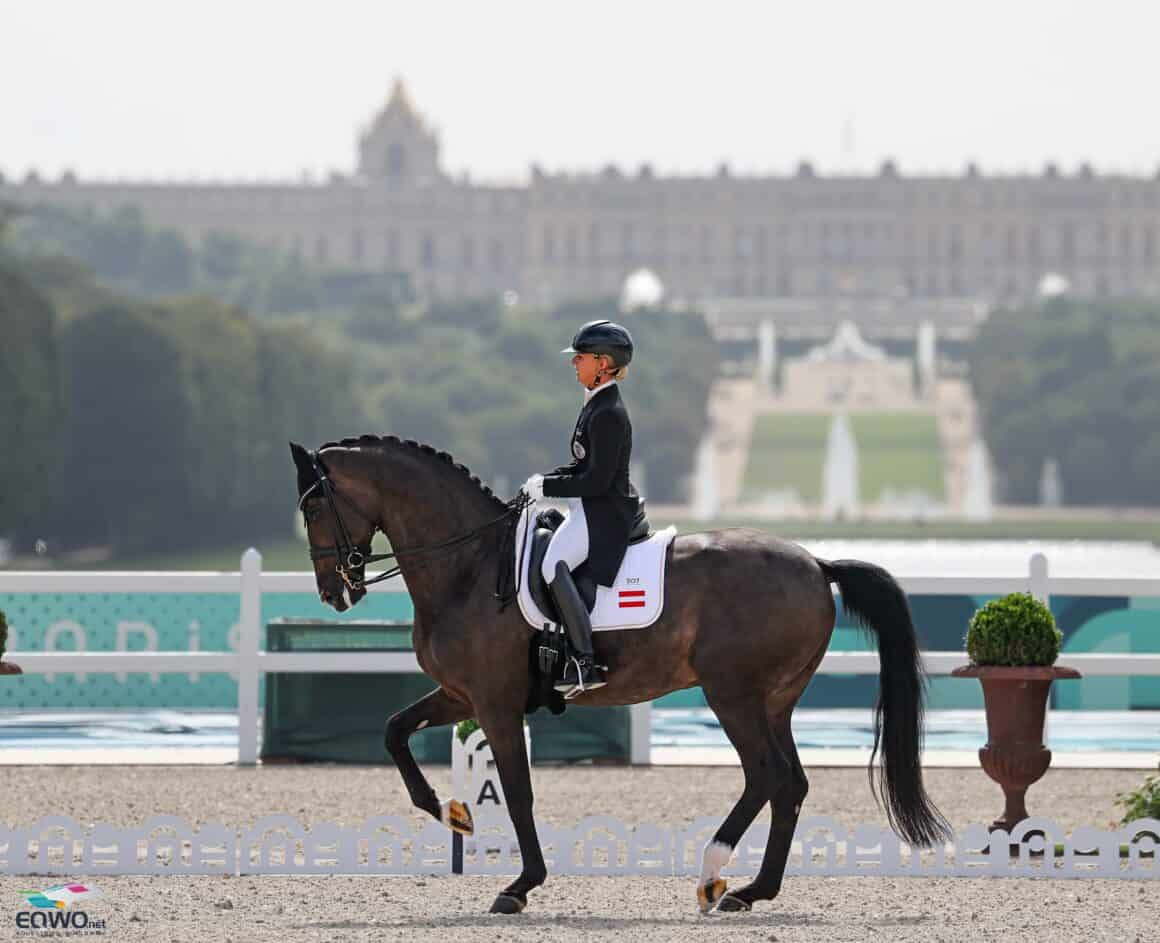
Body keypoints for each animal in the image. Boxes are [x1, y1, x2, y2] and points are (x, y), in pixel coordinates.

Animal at [287, 436, 941, 914]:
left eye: (314, 507)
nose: (333, 594)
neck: (468, 567)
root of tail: (815, 562)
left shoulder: (495, 702)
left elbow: (518, 790)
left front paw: (519, 886)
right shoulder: (460, 694)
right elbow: (395, 730)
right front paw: (452, 814)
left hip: (732, 694)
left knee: (766, 775)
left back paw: (712, 875)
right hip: (774, 701)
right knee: (791, 785)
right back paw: (753, 891)